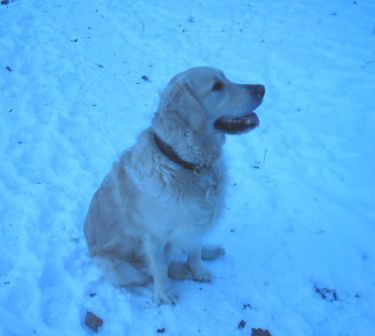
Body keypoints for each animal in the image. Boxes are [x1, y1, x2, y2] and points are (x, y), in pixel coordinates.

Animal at [83, 66, 264, 304]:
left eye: (226, 78)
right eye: (217, 86)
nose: (262, 89)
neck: (186, 164)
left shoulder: (195, 221)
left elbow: (195, 252)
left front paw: (199, 271)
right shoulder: (153, 237)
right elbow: (159, 268)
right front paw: (164, 294)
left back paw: (209, 252)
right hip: (115, 267)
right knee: (147, 273)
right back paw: (179, 270)